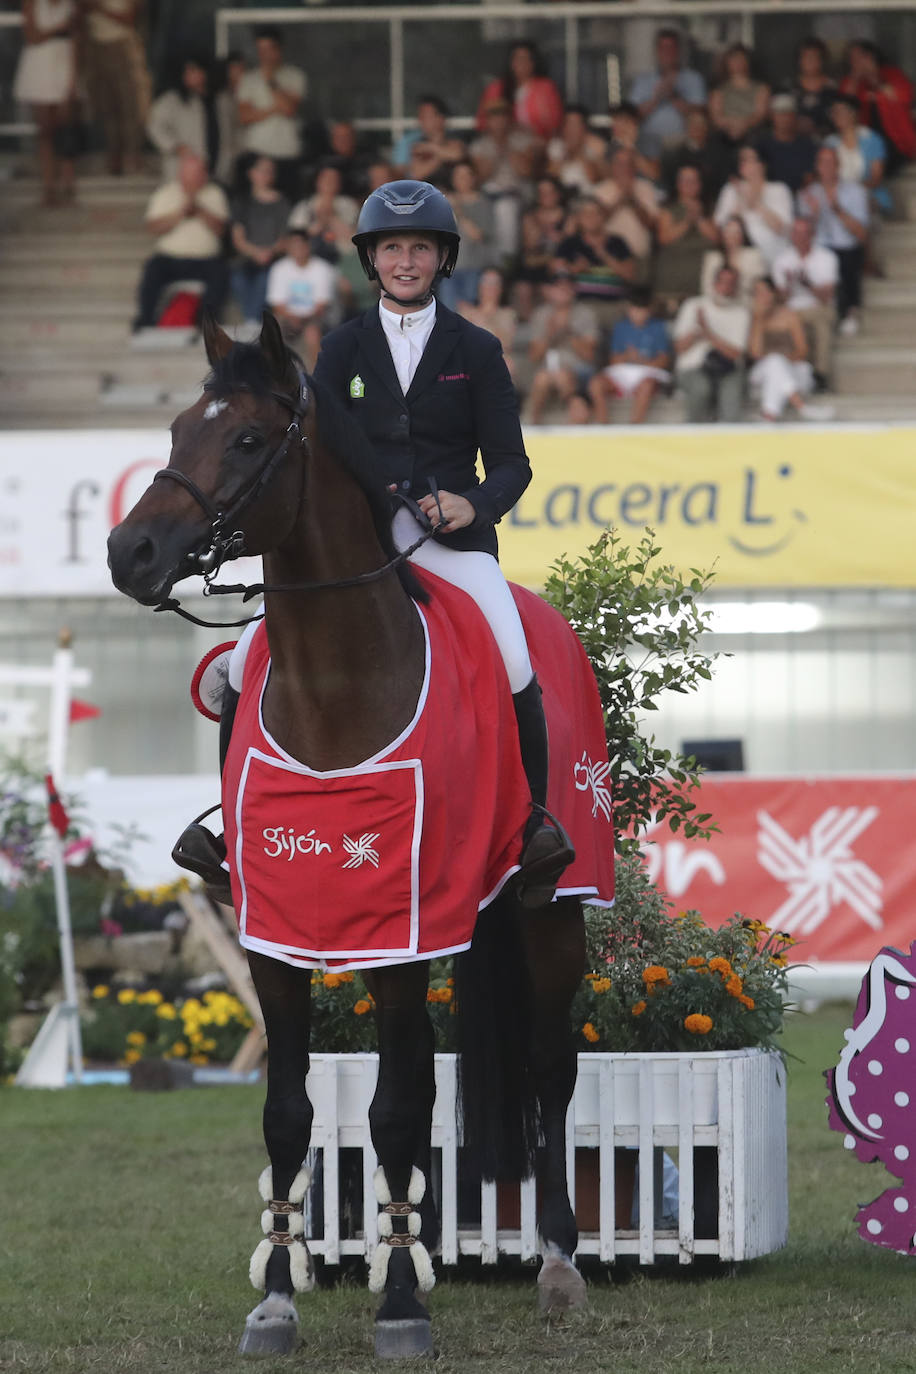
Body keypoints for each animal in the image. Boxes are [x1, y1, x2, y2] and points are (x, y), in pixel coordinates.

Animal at [107, 314, 609, 1363]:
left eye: (248, 440)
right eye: (174, 429)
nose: (130, 552)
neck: (337, 686)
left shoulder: (401, 941)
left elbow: (396, 1111)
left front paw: (404, 1303)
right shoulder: (272, 938)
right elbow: (290, 1112)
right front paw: (278, 1299)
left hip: (553, 911)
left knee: (549, 1070)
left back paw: (557, 1261)